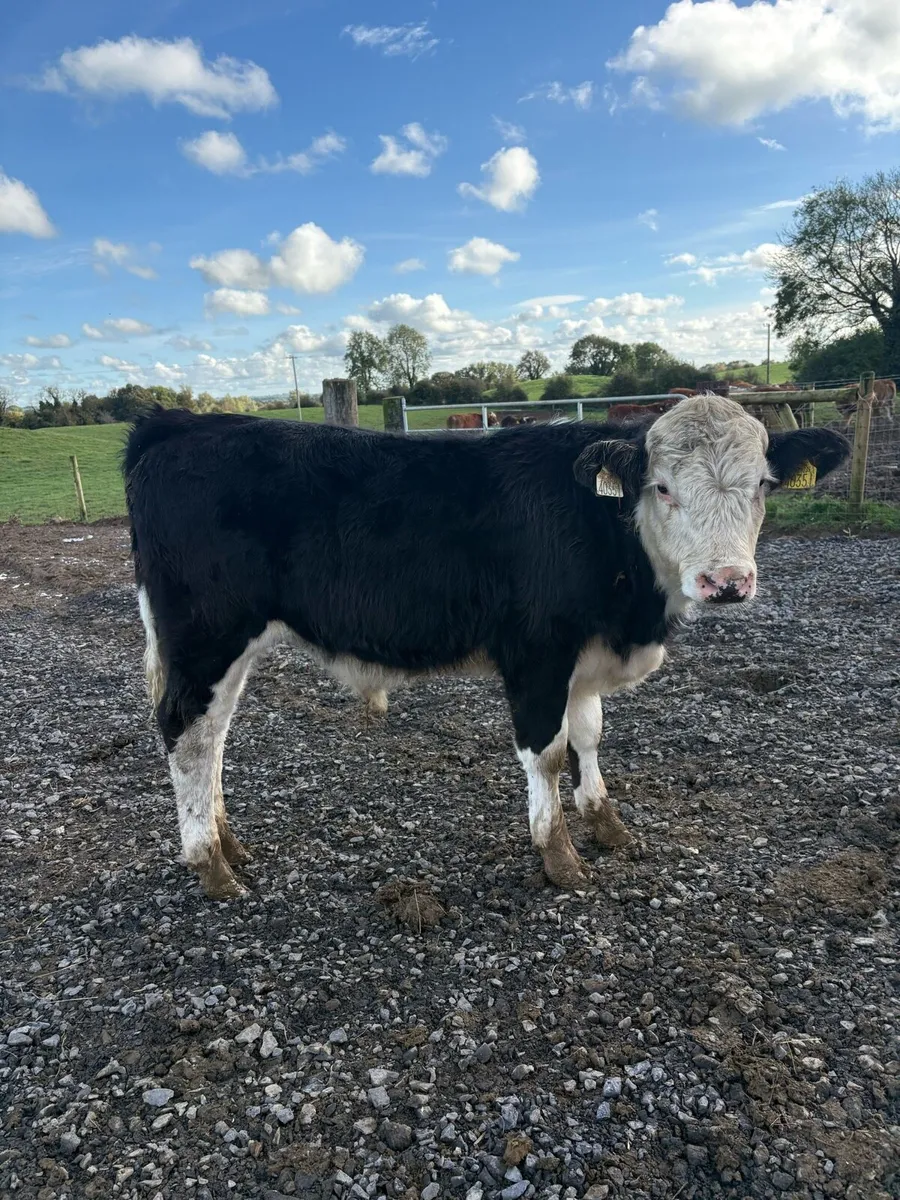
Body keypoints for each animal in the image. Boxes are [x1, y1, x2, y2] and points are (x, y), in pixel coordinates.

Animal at [124, 397, 849, 900]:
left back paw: (228, 842)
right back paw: (212, 866)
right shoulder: (536, 653)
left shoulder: (583, 660)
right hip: (207, 636)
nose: (726, 581)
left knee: (213, 735)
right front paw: (559, 857)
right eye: (662, 487)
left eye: (762, 484)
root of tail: (178, 424)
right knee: (188, 735)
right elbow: (548, 753)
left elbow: (590, 734)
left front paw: (606, 823)